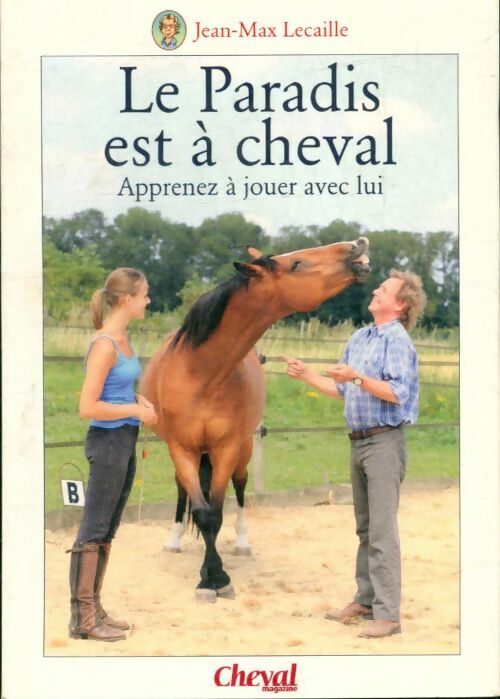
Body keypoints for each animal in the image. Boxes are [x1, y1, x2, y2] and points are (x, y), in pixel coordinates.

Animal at [139, 237, 370, 601]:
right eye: (296, 264)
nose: (355, 245)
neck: (201, 373)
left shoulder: (226, 447)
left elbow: (215, 513)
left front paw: (215, 576)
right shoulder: (181, 447)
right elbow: (201, 511)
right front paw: (209, 579)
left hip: (243, 449)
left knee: (241, 486)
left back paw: (243, 542)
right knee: (182, 489)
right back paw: (174, 540)